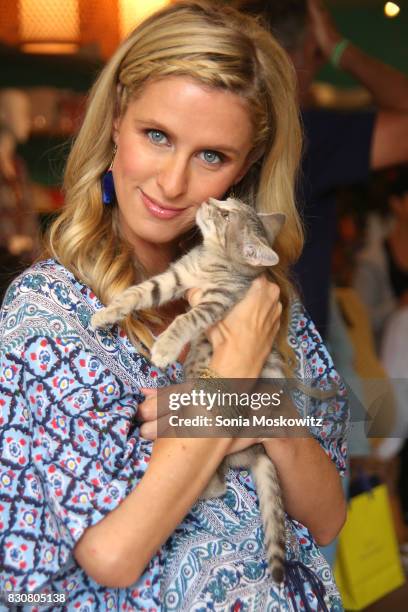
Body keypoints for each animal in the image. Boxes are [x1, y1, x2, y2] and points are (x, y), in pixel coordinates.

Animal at [93, 197, 286, 584]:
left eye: (225, 214)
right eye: (229, 203)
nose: (210, 200)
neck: (210, 260)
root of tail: (258, 451)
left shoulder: (216, 302)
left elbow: (186, 319)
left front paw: (165, 347)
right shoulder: (174, 277)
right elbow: (139, 292)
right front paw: (108, 312)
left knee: (219, 481)